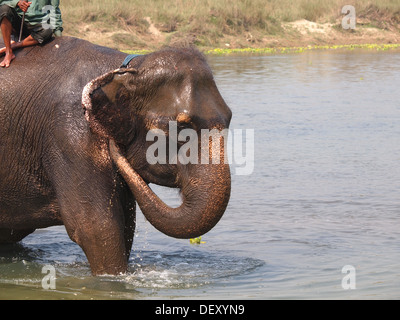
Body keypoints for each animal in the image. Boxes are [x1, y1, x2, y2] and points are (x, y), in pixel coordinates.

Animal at [0, 35, 231, 276]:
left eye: (229, 119)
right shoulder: (69, 137)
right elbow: (97, 229)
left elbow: (126, 226)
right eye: (182, 127)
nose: (115, 147)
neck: (126, 69)